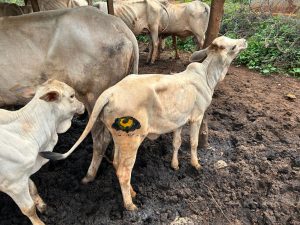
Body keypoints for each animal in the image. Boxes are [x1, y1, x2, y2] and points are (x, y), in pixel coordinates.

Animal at [0, 79, 84, 225]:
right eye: (72, 95)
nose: (83, 106)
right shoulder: (13, 184)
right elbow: (28, 208)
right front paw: (39, 222)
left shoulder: (23, 174)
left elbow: (33, 188)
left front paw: (43, 206)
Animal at [41, 36, 248, 211]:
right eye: (232, 46)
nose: (244, 41)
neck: (206, 76)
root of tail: (110, 93)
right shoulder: (196, 117)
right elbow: (194, 143)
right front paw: (196, 165)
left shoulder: (178, 121)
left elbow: (177, 143)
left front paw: (175, 165)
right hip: (131, 139)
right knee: (123, 170)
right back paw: (130, 205)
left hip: (119, 137)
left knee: (116, 162)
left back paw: (132, 192)